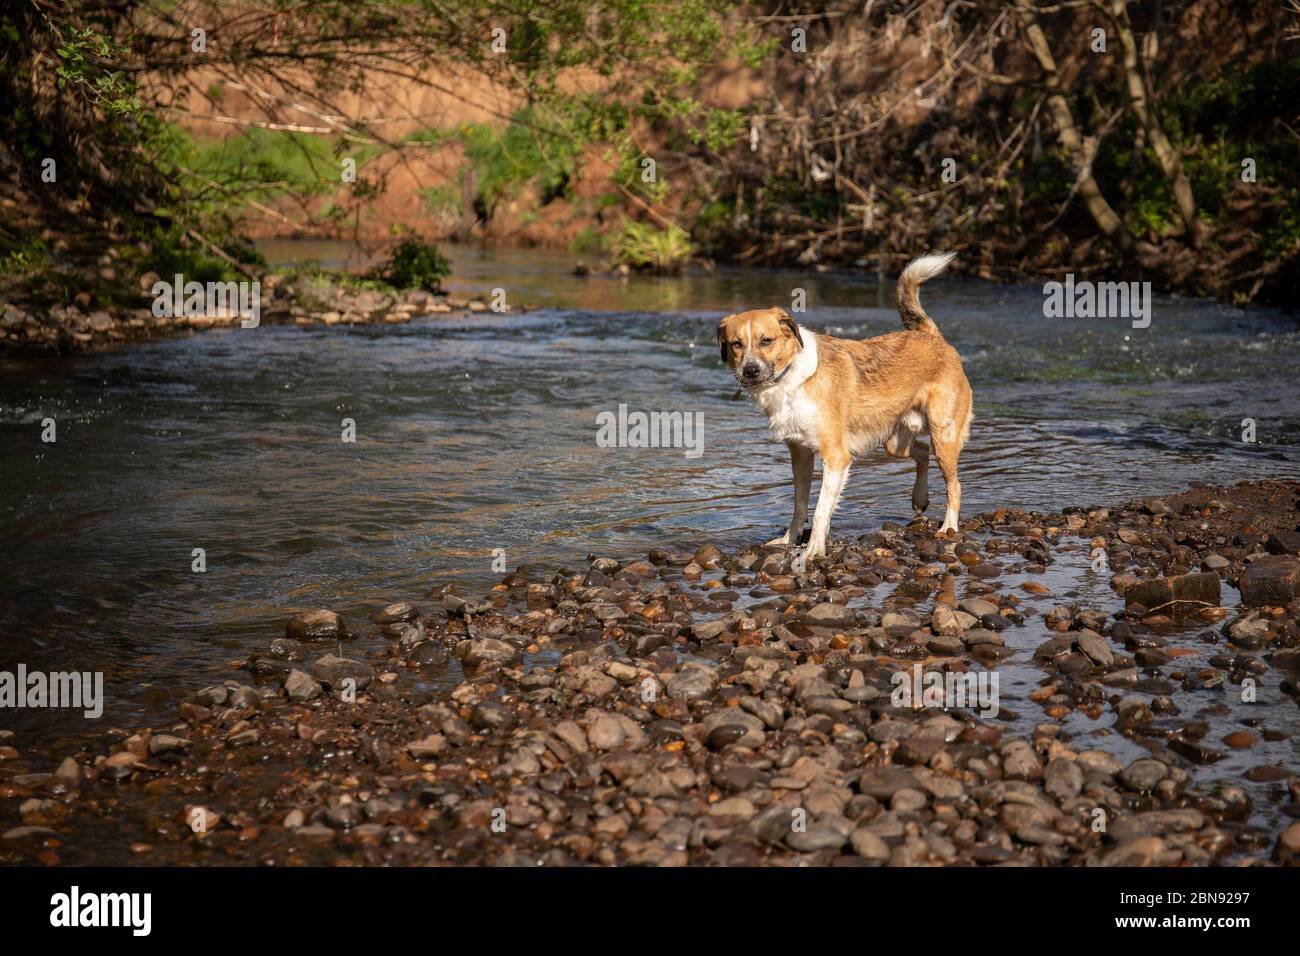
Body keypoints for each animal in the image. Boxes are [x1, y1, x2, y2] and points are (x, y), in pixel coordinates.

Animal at [717, 256, 972, 561]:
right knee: (921, 452)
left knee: (954, 485)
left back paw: (948, 528)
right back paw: (919, 498)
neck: (790, 378)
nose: (750, 370)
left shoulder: (836, 457)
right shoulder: (799, 453)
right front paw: (789, 540)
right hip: (894, 441)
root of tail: (931, 336)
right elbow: (799, 505)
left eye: (766, 341)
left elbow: (820, 511)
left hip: (943, 435)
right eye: (736, 344)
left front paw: (812, 551)